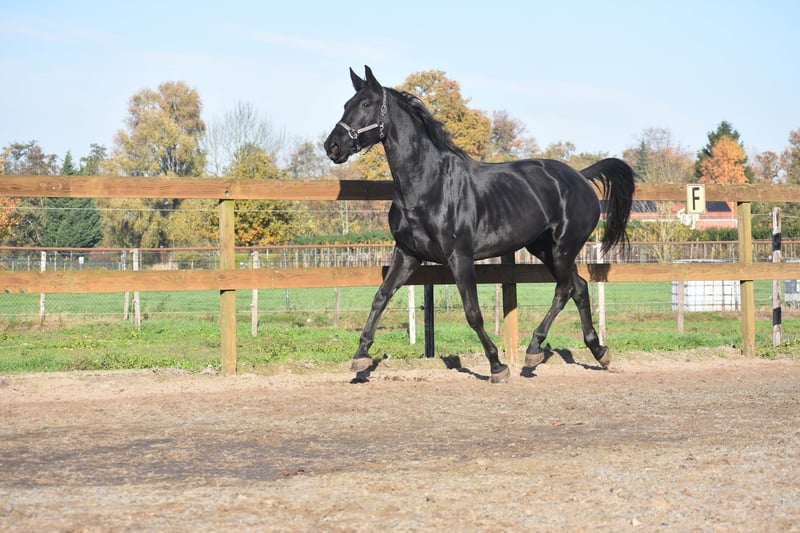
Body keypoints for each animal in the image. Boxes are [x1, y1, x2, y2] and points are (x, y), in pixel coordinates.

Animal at [324, 66, 635, 383]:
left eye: (366, 104)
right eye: (346, 105)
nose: (332, 146)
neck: (428, 186)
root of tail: (580, 177)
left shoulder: (459, 257)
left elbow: (472, 312)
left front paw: (497, 366)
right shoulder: (408, 255)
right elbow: (380, 297)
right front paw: (360, 357)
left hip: (563, 248)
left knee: (564, 291)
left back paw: (534, 350)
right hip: (545, 249)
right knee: (579, 287)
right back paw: (598, 351)